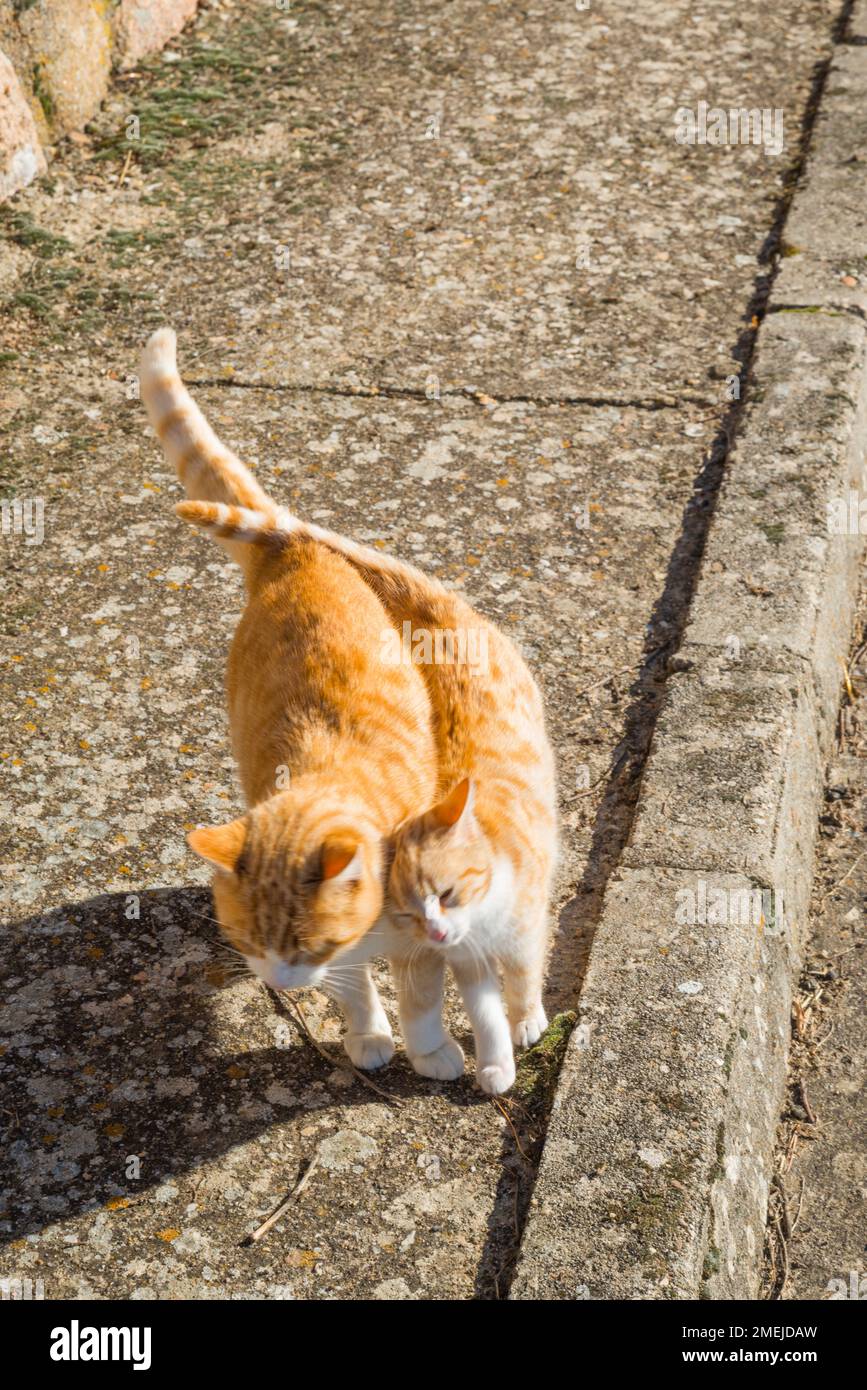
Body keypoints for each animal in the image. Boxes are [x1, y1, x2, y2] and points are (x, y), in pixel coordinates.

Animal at [142, 330, 439, 1067]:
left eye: (306, 945)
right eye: (247, 942)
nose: (278, 983)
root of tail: (291, 545)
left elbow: (420, 992)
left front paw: (434, 1056)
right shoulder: (350, 958)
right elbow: (357, 987)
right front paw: (368, 1034)